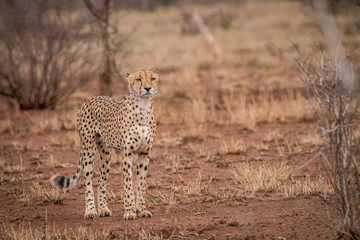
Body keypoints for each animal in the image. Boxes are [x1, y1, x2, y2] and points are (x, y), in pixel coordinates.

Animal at [50, 69, 159, 219]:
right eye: (138, 79)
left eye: (153, 78)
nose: (148, 88)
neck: (143, 106)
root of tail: (91, 99)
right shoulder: (127, 153)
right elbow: (128, 183)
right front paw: (129, 211)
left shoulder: (144, 152)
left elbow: (141, 183)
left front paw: (141, 209)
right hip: (88, 148)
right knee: (88, 180)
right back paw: (90, 210)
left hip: (106, 153)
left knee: (101, 181)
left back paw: (103, 209)